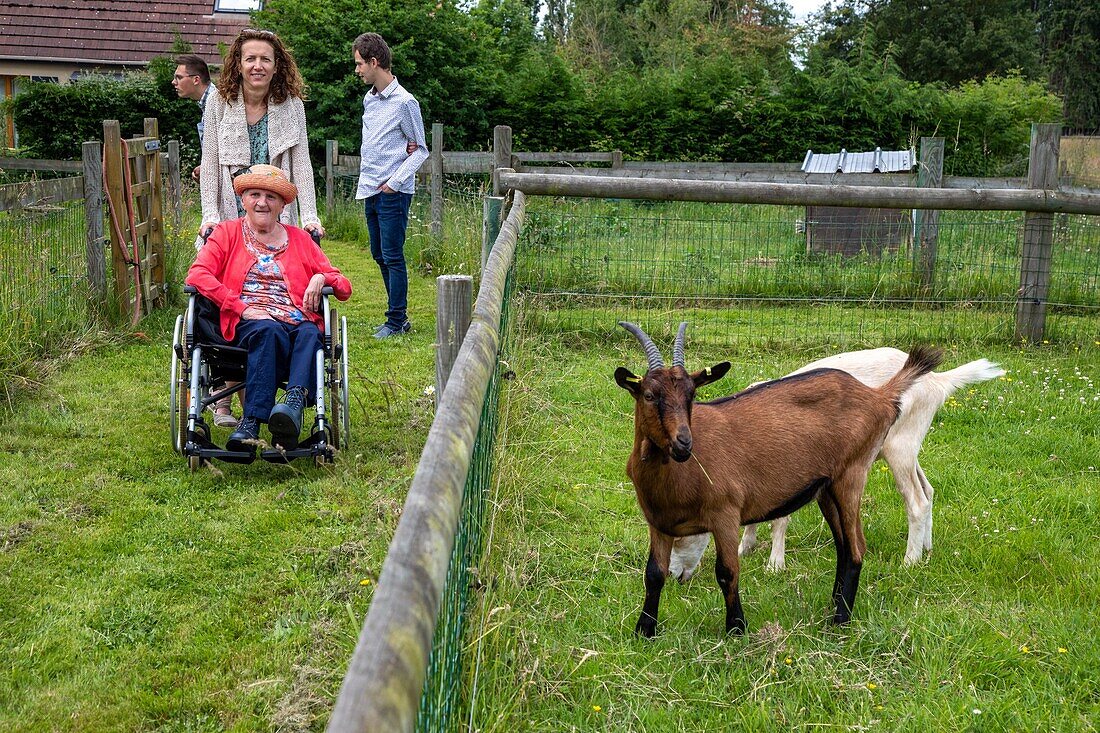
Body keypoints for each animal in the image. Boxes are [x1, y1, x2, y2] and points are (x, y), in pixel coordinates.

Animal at [616, 319, 941, 633]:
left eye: (691, 395)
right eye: (648, 395)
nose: (684, 443)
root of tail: (879, 396)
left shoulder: (725, 515)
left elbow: (727, 571)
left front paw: (737, 628)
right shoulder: (658, 523)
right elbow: (653, 574)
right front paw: (645, 630)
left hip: (851, 475)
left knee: (856, 548)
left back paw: (840, 620)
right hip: (826, 489)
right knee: (843, 546)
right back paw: (833, 606)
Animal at [668, 345, 1007, 581]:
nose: (674, 574)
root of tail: (938, 382)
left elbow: (780, 518)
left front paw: (775, 565)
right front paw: (746, 547)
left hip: (900, 447)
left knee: (917, 501)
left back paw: (909, 562)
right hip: (906, 450)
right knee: (929, 490)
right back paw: (927, 550)